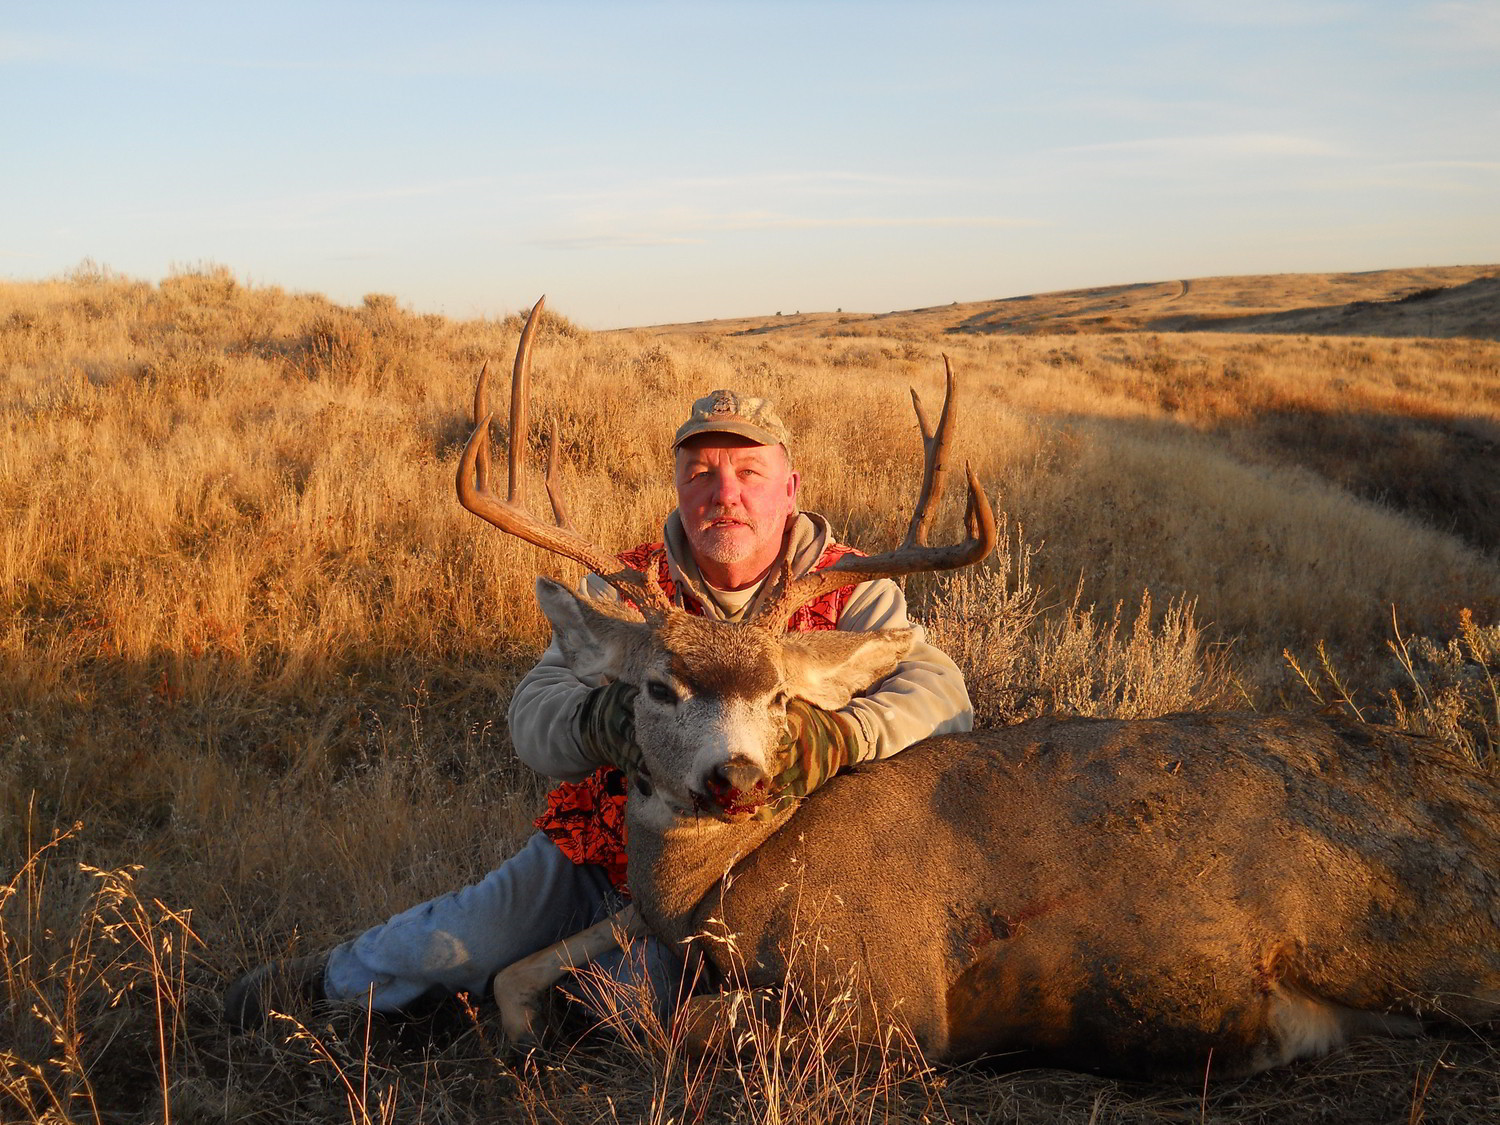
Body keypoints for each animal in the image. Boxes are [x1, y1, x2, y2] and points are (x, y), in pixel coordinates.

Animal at [456, 299, 1500, 1079]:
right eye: (659, 688)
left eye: (785, 698)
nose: (738, 778)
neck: (715, 889)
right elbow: (510, 974)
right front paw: (522, 1034)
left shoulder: (890, 991)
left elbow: (669, 1024)